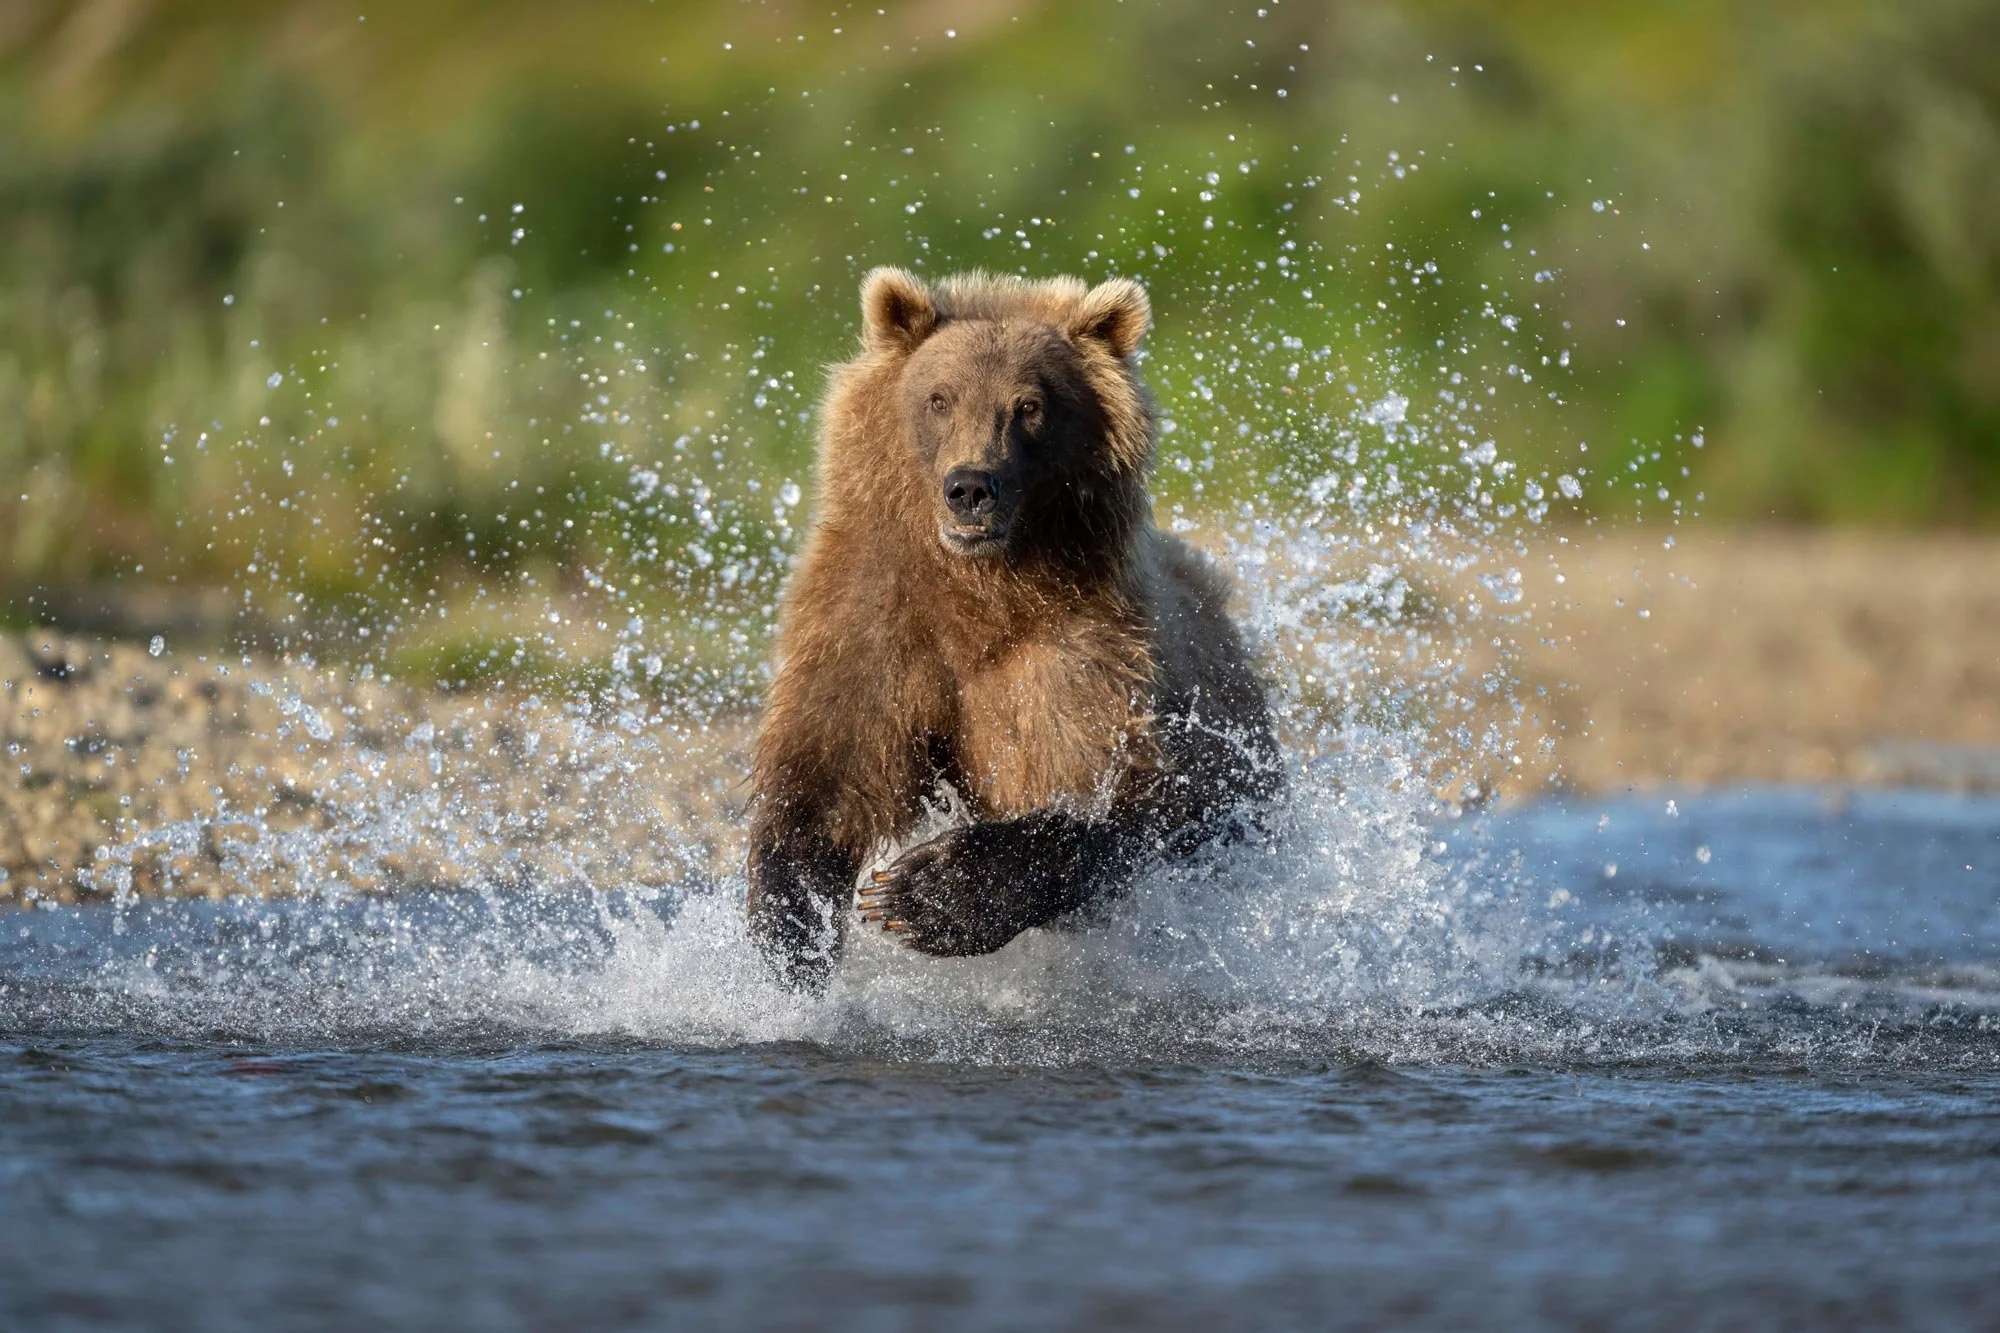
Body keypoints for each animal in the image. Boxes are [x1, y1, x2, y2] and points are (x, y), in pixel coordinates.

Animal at [745, 267, 1277, 991]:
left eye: (1029, 406)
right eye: (939, 398)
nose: (970, 487)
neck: (978, 592)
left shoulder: (1077, 649)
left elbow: (1106, 799)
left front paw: (924, 892)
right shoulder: (870, 623)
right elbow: (823, 781)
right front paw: (789, 945)